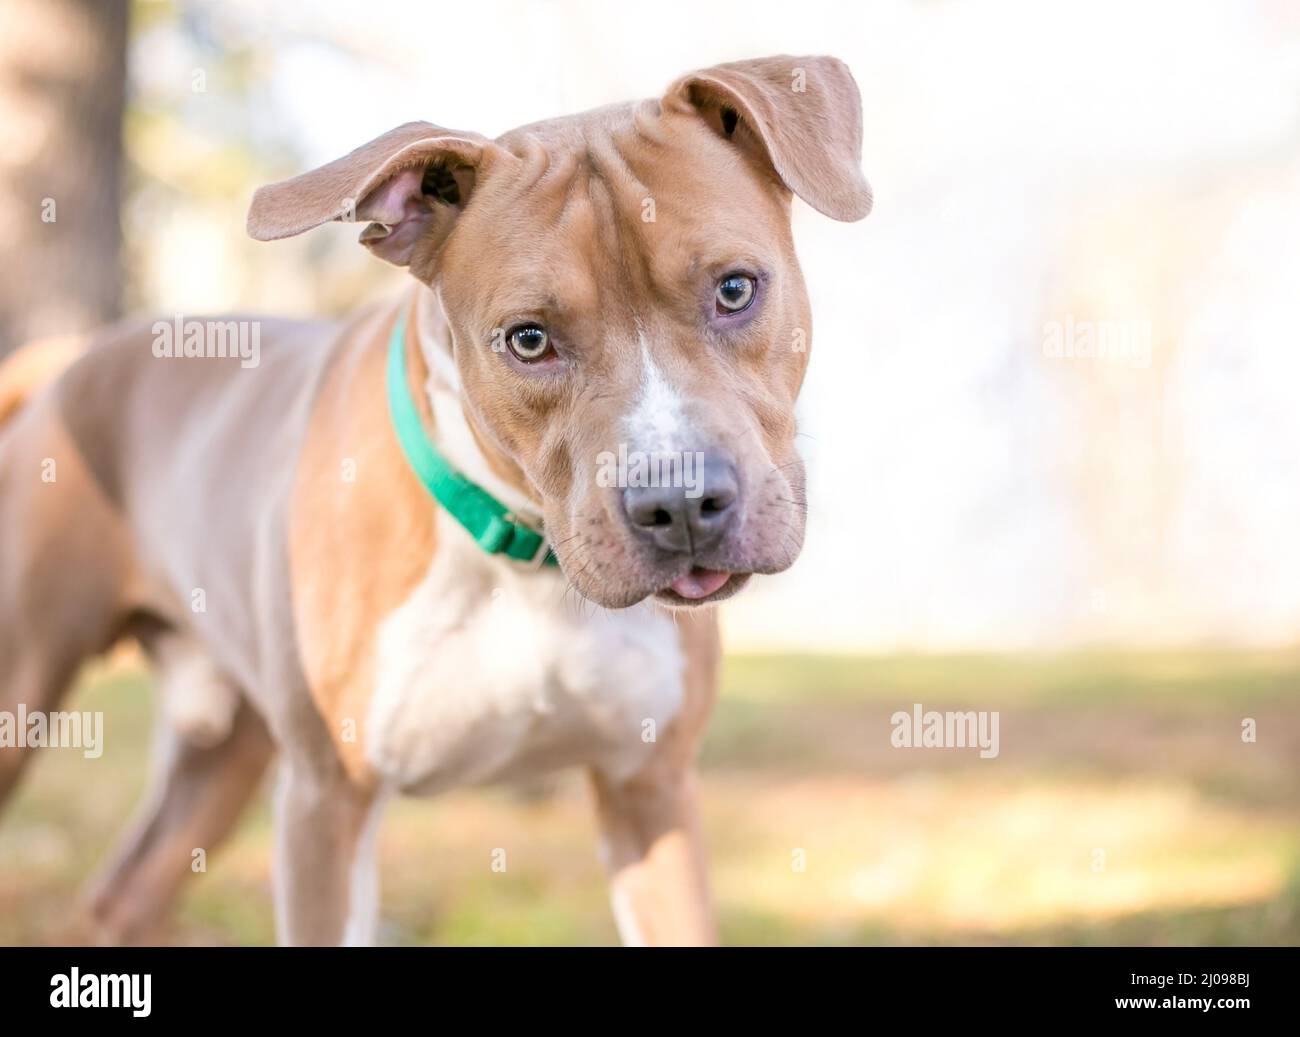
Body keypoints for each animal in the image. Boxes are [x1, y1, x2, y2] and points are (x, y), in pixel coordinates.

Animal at [2, 56, 873, 951]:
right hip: (24, 685)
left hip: (228, 744)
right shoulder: (326, 804)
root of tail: (75, 358)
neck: (527, 558)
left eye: (735, 289)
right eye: (528, 339)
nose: (683, 501)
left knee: (123, 893)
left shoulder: (651, 788)